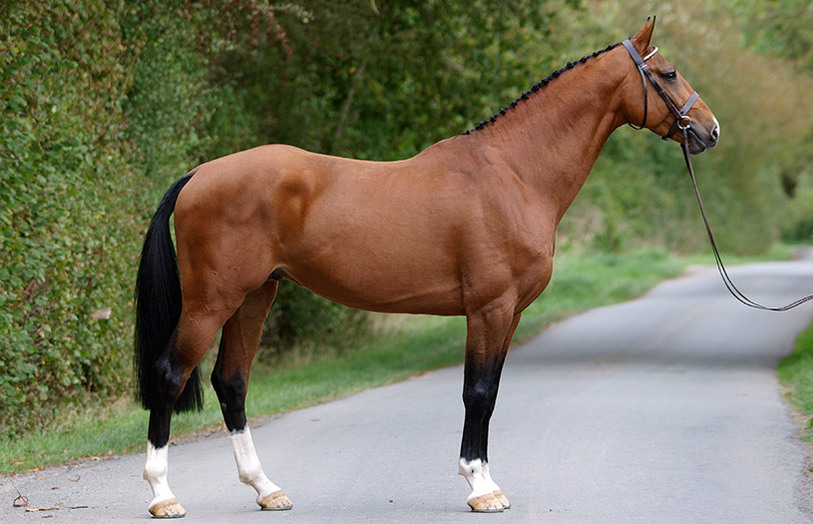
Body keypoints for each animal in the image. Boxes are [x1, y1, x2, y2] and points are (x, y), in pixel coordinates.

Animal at [134, 18, 719, 517]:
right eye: (668, 73)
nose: (709, 131)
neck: (513, 172)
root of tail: (199, 174)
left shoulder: (511, 315)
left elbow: (491, 394)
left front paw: (485, 479)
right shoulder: (488, 309)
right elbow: (476, 393)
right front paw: (481, 488)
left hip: (254, 297)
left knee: (231, 382)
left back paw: (266, 489)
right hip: (212, 302)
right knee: (169, 376)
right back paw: (164, 496)